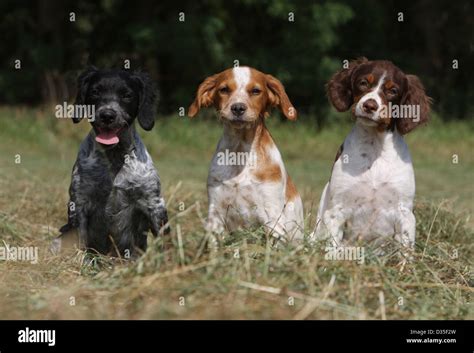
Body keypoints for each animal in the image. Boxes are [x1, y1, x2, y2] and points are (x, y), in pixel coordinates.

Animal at [56, 68, 169, 256]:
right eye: (95, 92)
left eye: (127, 95)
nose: (107, 115)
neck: (114, 158)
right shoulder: (79, 202)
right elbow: (80, 241)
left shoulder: (154, 203)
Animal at [188, 66, 304, 242]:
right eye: (224, 89)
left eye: (256, 91)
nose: (237, 108)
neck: (240, 152)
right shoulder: (216, 213)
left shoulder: (272, 216)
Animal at [312, 57, 432, 249]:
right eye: (363, 83)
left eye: (393, 91)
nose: (369, 105)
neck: (375, 146)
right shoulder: (337, 209)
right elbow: (332, 246)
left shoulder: (405, 212)